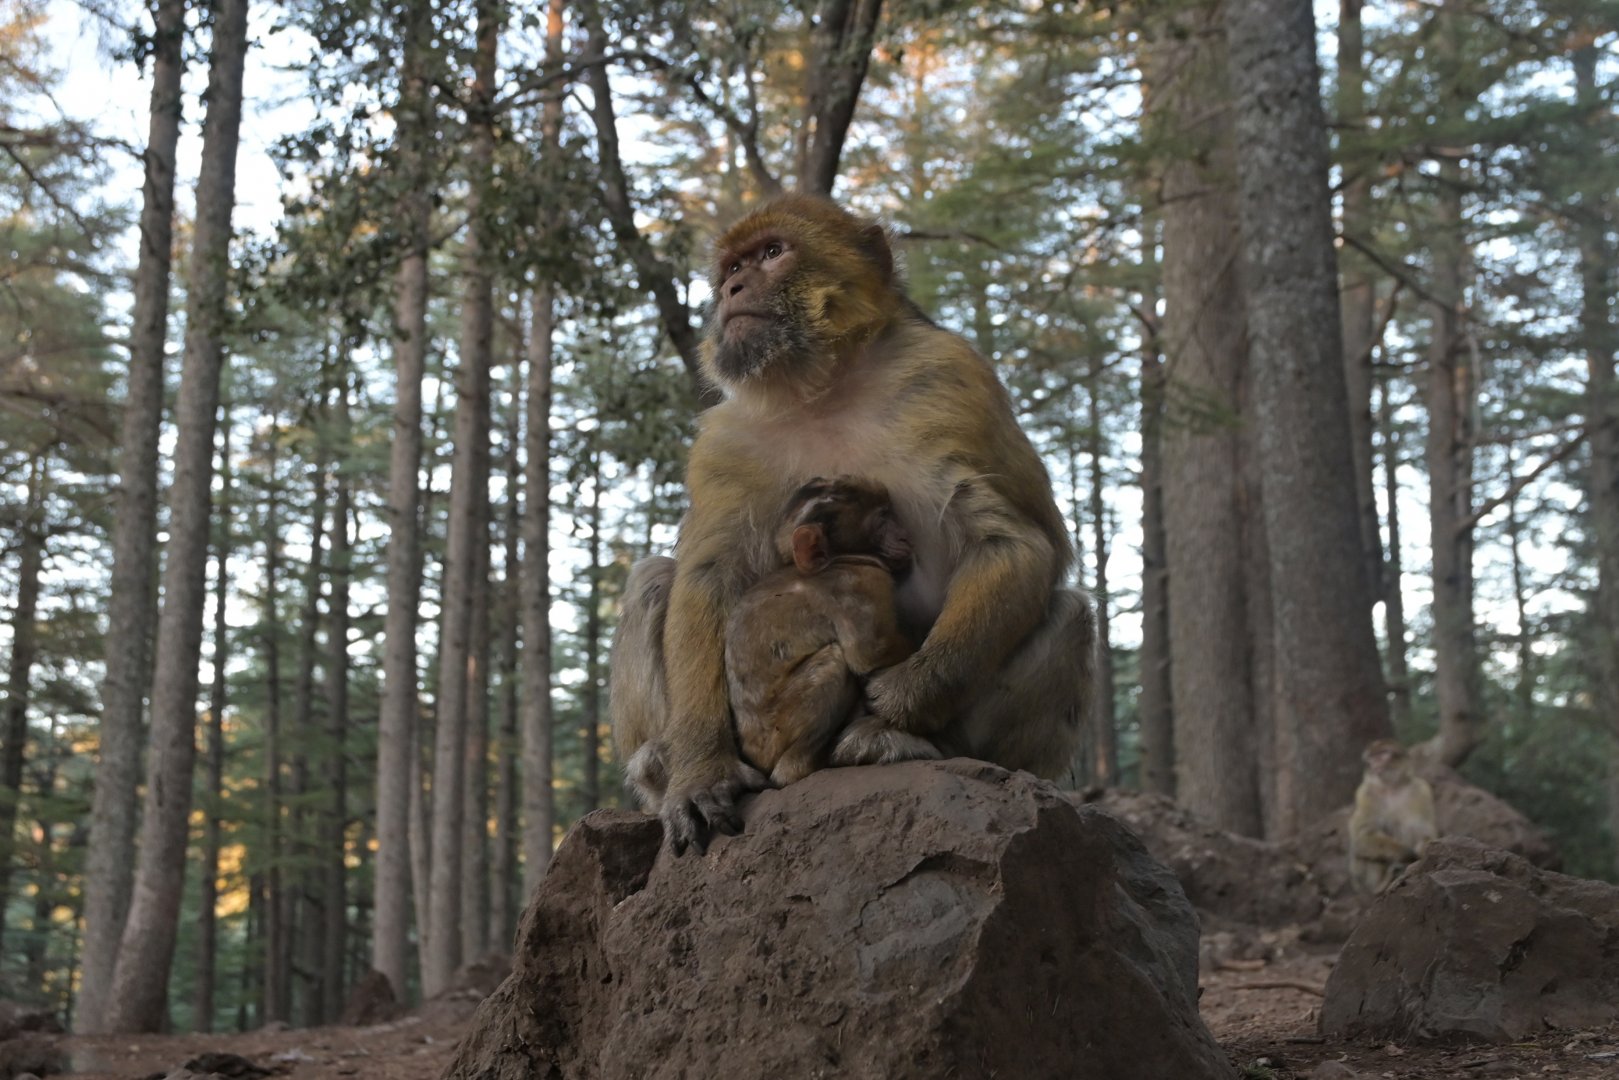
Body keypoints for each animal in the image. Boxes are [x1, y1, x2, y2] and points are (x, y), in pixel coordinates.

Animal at [725, 476, 919, 787]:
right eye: (882, 519)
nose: (905, 538)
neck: (839, 559)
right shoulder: (858, 582)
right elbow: (871, 652)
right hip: (779, 730)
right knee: (835, 662)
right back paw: (802, 766)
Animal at [1347, 738, 1439, 894]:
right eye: (1372, 757)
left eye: (1382, 754)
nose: (1375, 764)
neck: (1391, 787)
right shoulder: (1365, 793)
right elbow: (1363, 835)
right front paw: (1407, 853)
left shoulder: (1421, 790)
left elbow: (1424, 832)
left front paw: (1423, 852)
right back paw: (1381, 885)